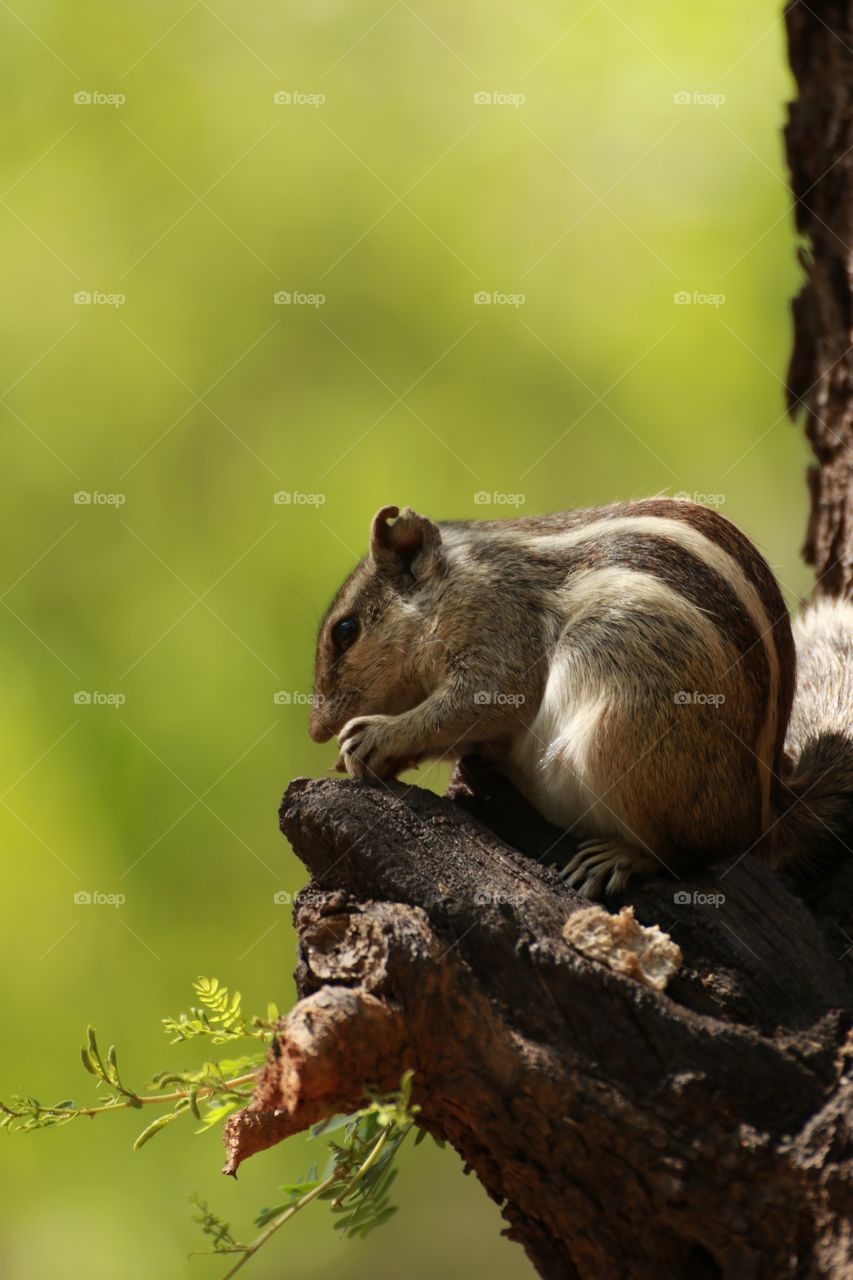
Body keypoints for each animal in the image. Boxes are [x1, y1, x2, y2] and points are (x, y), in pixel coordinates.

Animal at [309, 499, 853, 898]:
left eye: (346, 631)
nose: (316, 730)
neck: (456, 584)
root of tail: (769, 815)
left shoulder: (501, 634)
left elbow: (484, 704)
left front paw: (375, 737)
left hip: (625, 731)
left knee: (693, 851)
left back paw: (621, 855)